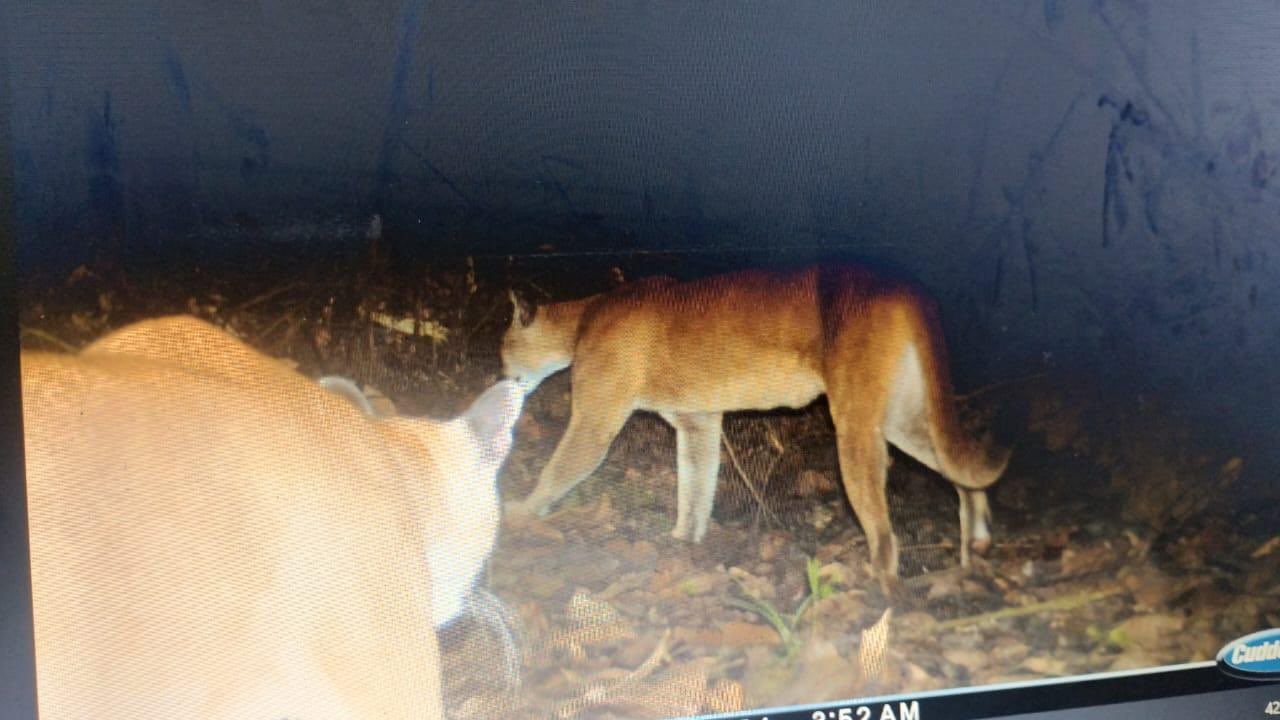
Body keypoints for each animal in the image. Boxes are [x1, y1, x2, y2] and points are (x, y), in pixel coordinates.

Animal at [501, 263, 1008, 589]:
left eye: (504, 349)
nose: (500, 375)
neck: (583, 318)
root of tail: (901, 283)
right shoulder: (698, 421)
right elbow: (696, 486)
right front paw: (685, 540)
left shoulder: (596, 417)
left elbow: (561, 467)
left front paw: (520, 511)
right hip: (901, 416)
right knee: (958, 469)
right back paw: (975, 546)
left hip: (856, 421)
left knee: (884, 530)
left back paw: (876, 585)